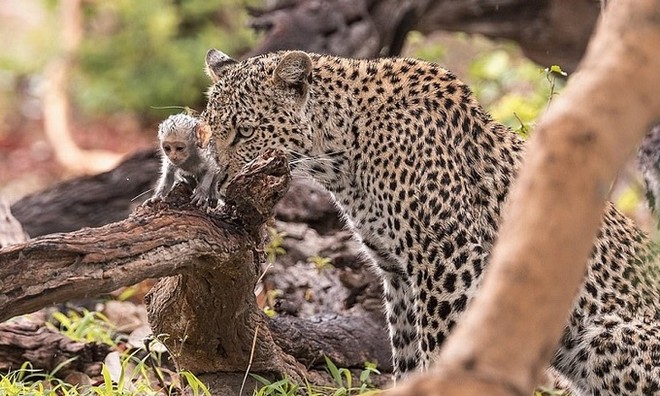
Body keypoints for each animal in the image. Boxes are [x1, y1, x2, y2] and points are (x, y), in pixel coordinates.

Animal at [201, 48, 660, 394]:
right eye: (208, 133)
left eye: (244, 132)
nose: (219, 181)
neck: (341, 154)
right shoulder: (398, 272)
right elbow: (406, 351)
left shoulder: (449, 258)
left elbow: (443, 344)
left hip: (603, 337)